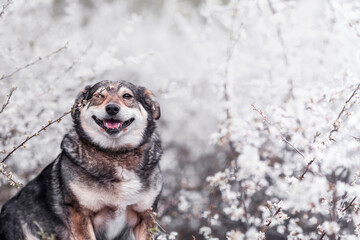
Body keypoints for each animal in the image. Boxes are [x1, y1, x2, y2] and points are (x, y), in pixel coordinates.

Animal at [0, 80, 163, 240]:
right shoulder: (79, 214)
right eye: (98, 96)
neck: (115, 154)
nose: (112, 108)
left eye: (127, 96)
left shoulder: (146, 215)